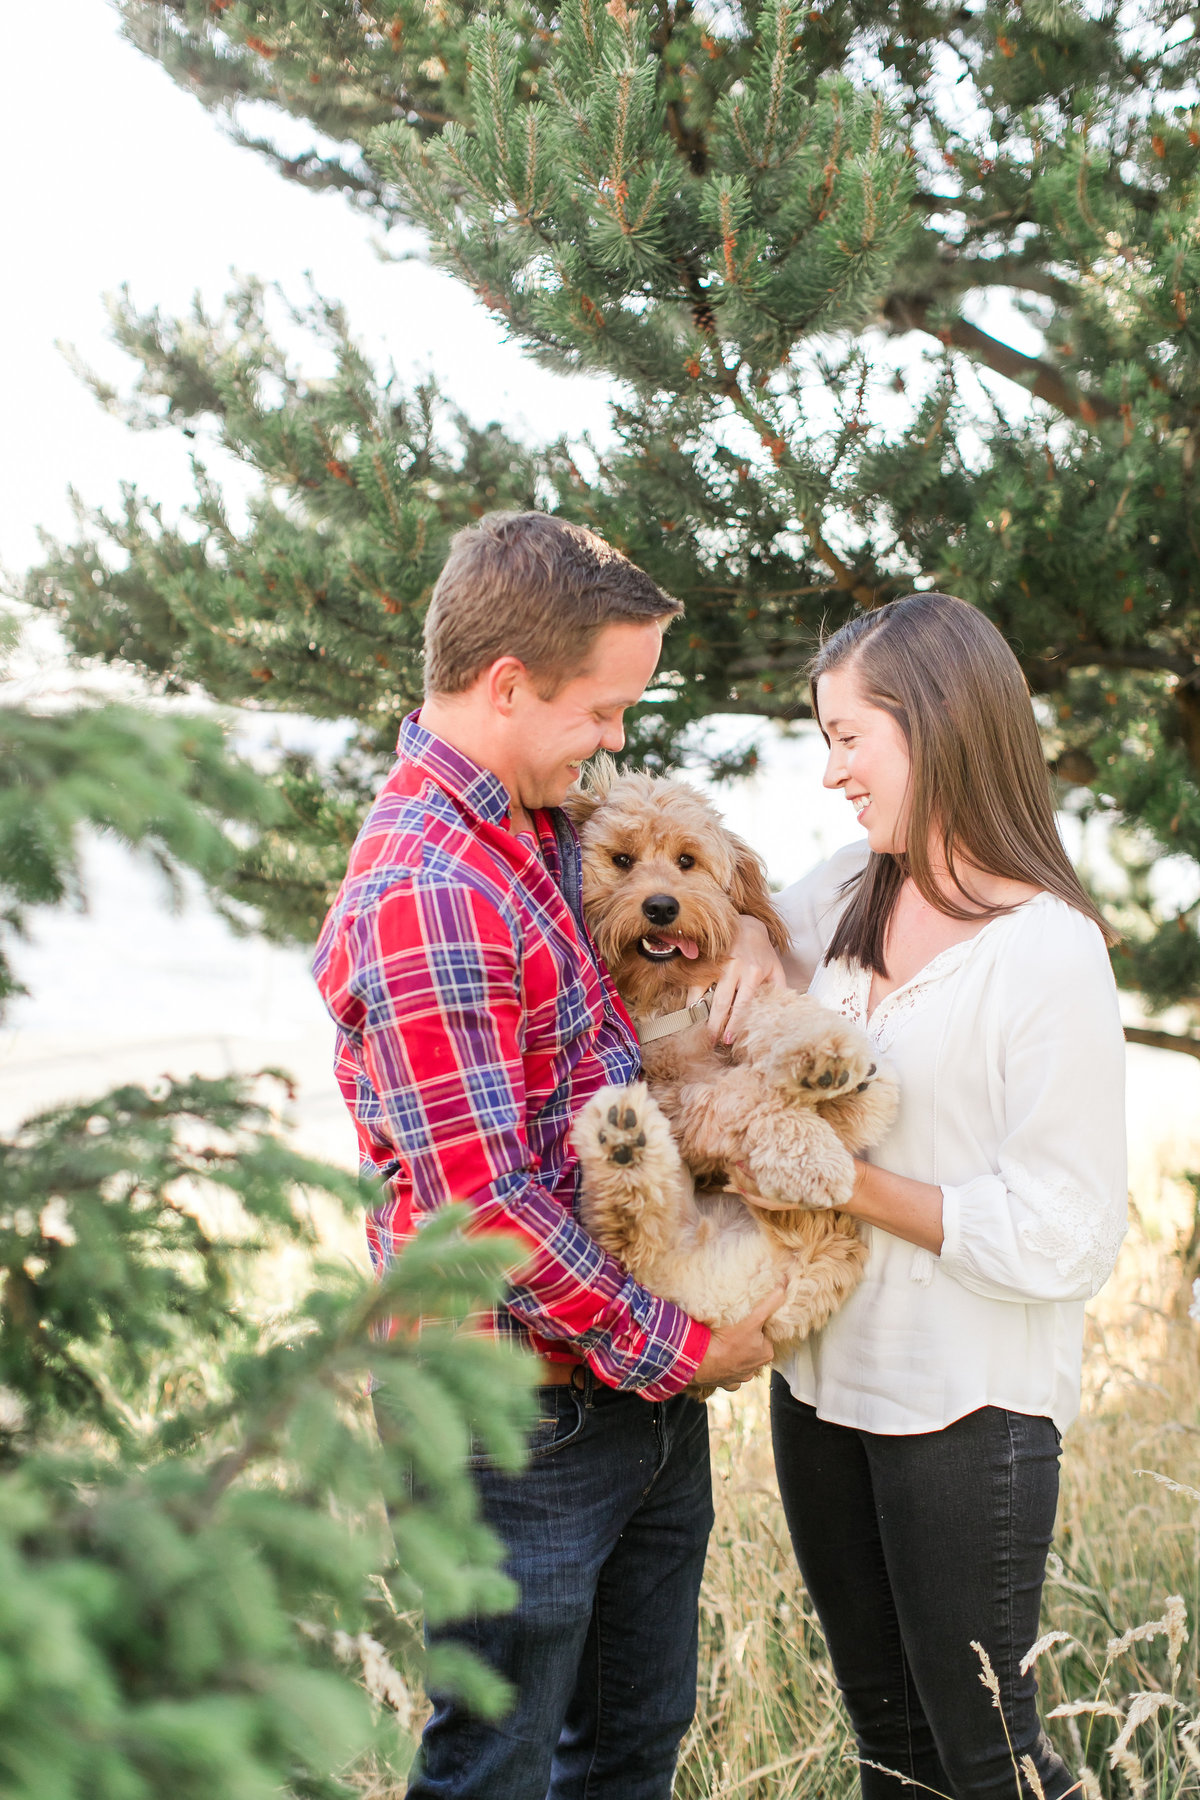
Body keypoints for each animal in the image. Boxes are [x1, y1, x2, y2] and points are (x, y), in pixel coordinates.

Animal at [568, 759, 895, 1360]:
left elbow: (780, 1014)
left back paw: (852, 1090)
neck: (670, 997)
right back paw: (623, 1144)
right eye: (622, 860)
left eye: (686, 860)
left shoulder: (736, 996)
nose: (661, 906)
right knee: (632, 1239)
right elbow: (744, 1099)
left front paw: (825, 1054)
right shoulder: (677, 1094)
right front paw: (811, 1155)